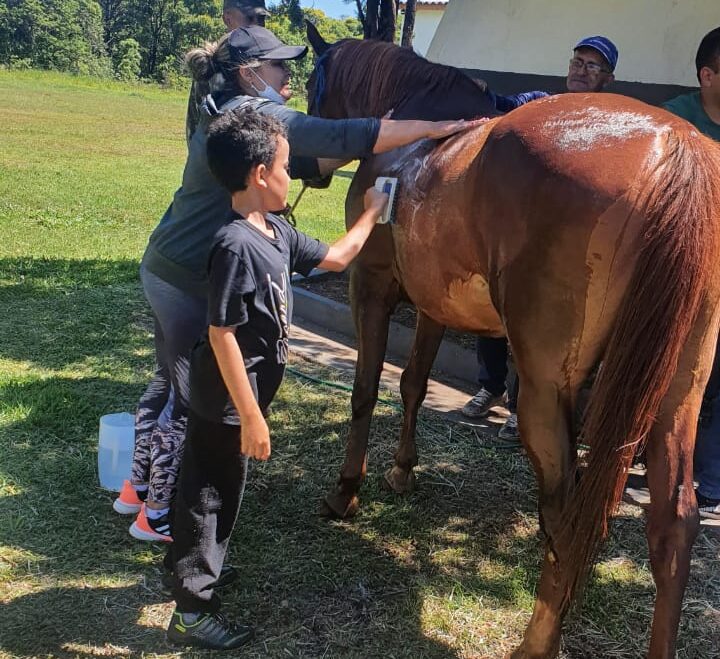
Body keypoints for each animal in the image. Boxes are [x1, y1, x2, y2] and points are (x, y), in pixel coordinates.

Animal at [306, 25, 720, 659]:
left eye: (311, 83)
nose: (306, 165)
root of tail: (677, 146)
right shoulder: (434, 305)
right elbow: (413, 384)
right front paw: (402, 472)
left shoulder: (369, 286)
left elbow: (365, 390)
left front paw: (346, 492)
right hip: (678, 391)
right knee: (673, 522)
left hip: (547, 389)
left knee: (565, 510)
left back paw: (535, 642)